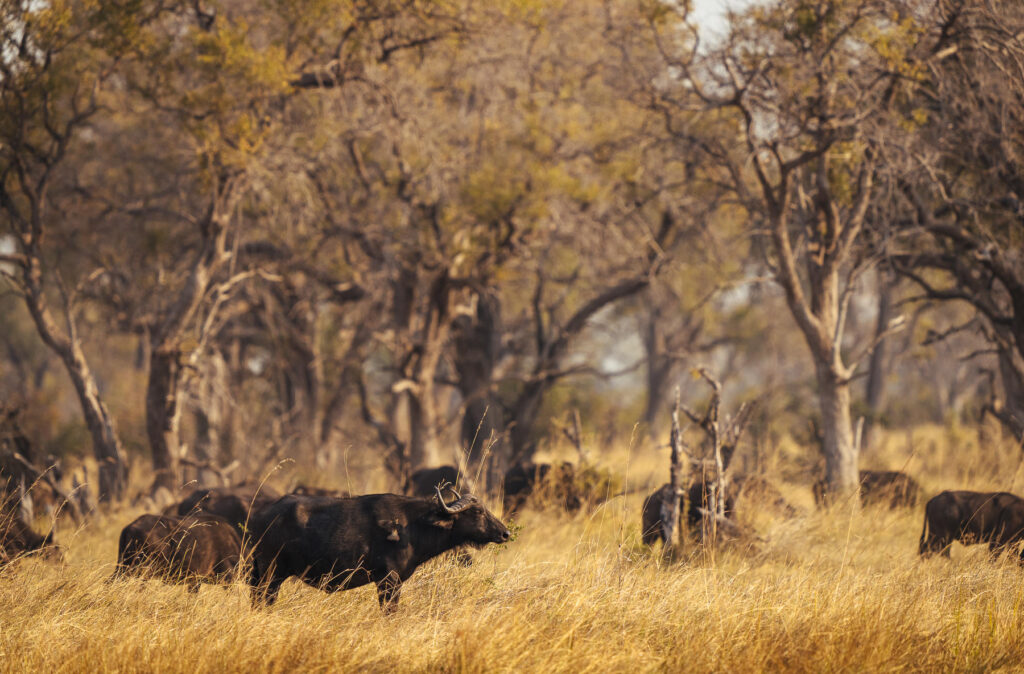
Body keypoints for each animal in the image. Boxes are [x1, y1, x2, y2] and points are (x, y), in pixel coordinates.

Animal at [247, 487, 510, 611]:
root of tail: (260, 516)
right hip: (270, 574)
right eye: (478, 512)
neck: (412, 525)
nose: (505, 533)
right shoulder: (388, 580)